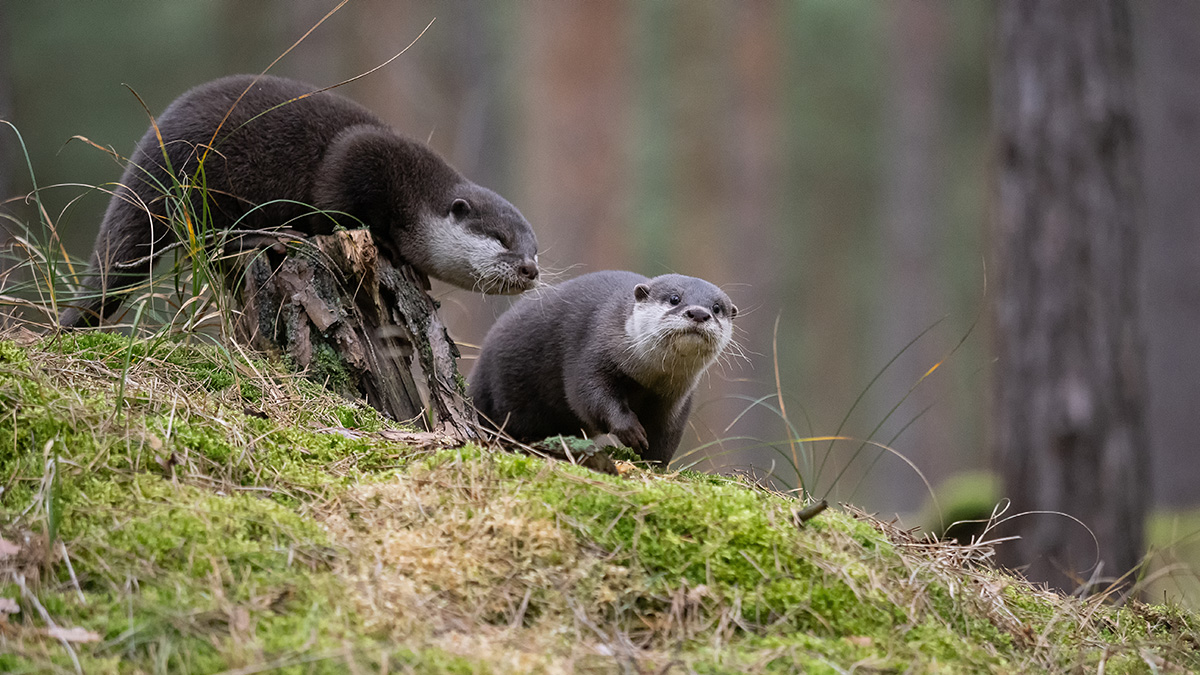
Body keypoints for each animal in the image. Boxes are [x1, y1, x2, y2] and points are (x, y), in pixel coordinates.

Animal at [59, 73, 540, 326]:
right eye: (501, 239)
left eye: (535, 248)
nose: (530, 269)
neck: (417, 194)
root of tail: (147, 157)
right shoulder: (362, 154)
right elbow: (334, 204)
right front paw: (387, 244)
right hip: (202, 180)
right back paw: (269, 233)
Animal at [465, 267, 729, 461]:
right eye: (675, 298)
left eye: (717, 308)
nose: (699, 313)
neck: (648, 377)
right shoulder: (594, 349)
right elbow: (588, 395)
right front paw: (630, 430)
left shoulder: (676, 397)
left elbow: (667, 433)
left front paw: (655, 464)